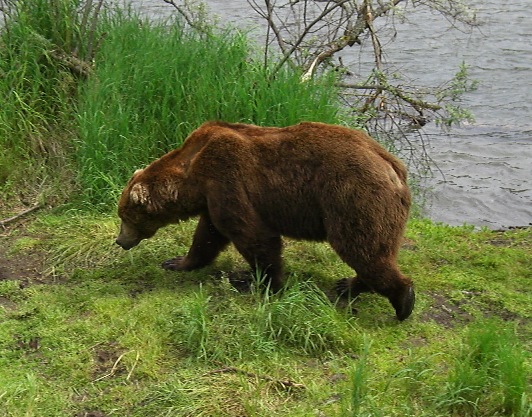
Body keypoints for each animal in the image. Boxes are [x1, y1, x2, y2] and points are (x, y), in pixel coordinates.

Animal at [116, 122, 416, 320]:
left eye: (125, 216)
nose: (120, 241)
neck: (193, 175)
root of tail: (393, 166)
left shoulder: (227, 178)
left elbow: (251, 234)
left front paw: (265, 282)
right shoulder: (213, 197)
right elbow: (208, 236)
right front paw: (178, 262)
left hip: (353, 198)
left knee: (361, 247)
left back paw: (403, 300)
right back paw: (349, 285)